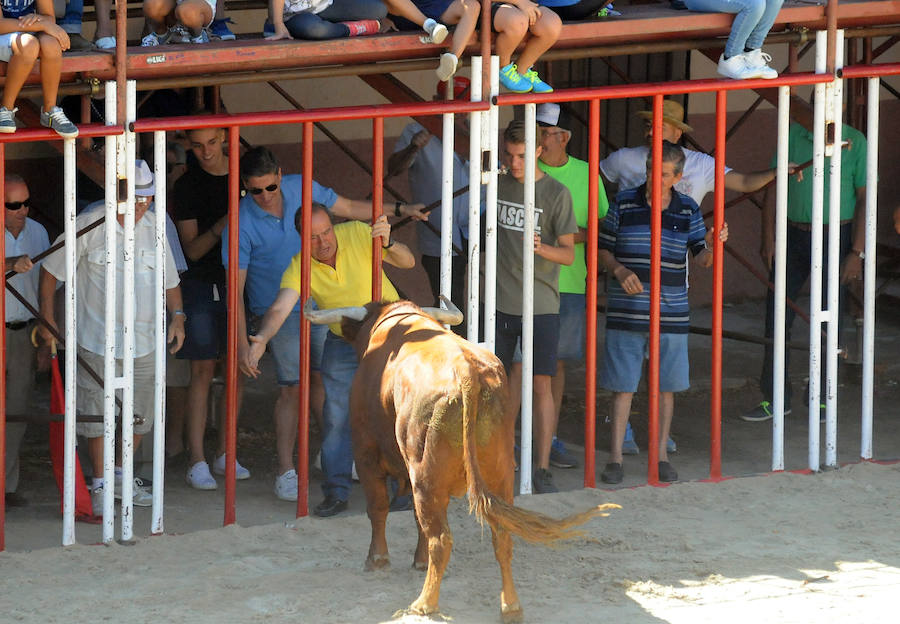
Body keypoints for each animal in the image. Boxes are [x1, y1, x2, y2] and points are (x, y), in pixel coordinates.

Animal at [306, 300, 616, 620]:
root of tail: (468, 372)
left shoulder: (366, 451)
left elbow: (378, 508)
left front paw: (377, 559)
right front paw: (417, 562)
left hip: (425, 476)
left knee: (441, 539)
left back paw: (425, 603)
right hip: (498, 476)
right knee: (500, 536)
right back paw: (510, 606)